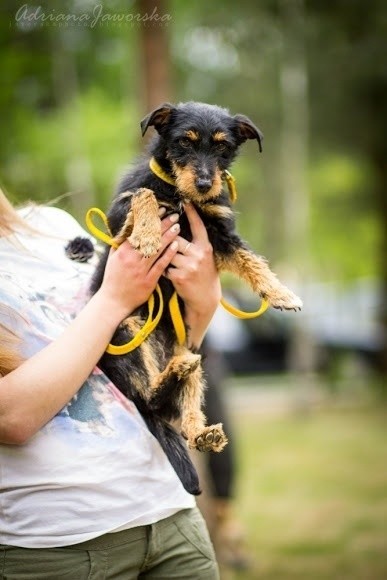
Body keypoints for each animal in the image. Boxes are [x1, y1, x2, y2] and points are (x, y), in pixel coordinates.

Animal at [91, 103, 304, 494]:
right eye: (184, 143)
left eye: (222, 147)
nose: (205, 185)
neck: (181, 194)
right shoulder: (117, 220)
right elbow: (143, 196)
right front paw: (148, 235)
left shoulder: (219, 232)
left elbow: (251, 258)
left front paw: (280, 292)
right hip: (128, 330)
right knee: (151, 397)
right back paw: (168, 379)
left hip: (195, 355)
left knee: (182, 410)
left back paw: (201, 431)